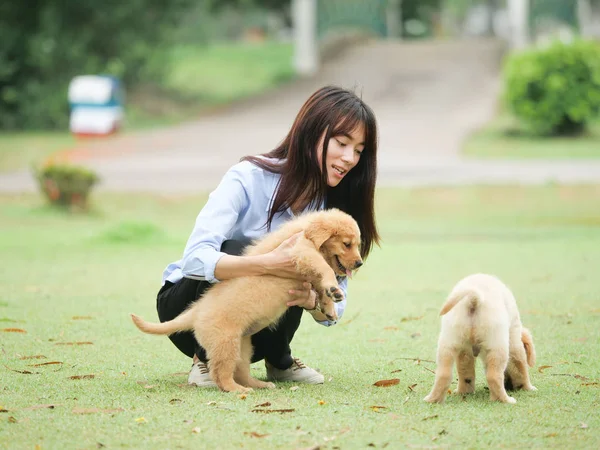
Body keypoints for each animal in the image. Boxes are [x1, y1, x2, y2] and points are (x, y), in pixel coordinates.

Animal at [131, 208, 360, 394]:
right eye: (347, 244)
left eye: (357, 245)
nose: (359, 263)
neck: (305, 232)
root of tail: (196, 312)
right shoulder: (300, 250)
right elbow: (324, 268)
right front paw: (334, 289)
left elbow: (320, 288)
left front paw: (330, 306)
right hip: (225, 343)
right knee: (220, 373)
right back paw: (236, 390)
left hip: (242, 346)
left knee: (240, 371)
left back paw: (259, 385)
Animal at [424, 272, 536, 406]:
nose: (508, 386)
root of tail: (474, 299)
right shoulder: (514, 342)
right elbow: (521, 367)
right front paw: (528, 387)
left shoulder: (465, 352)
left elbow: (466, 373)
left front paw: (465, 391)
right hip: (498, 346)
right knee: (494, 376)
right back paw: (504, 399)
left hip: (448, 343)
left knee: (443, 375)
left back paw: (433, 399)